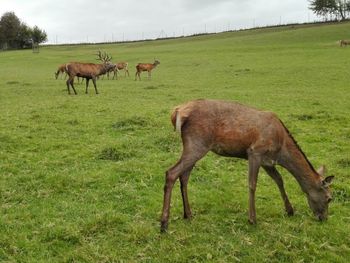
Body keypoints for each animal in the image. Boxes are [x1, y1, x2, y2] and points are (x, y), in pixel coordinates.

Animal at [160, 99, 334, 233]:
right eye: (329, 198)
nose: (324, 218)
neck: (281, 150)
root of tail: (177, 111)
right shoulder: (255, 152)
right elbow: (252, 184)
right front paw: (252, 219)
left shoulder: (267, 161)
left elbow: (279, 180)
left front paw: (290, 210)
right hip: (197, 143)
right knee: (171, 172)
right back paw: (164, 224)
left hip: (194, 146)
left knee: (184, 176)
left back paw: (188, 214)